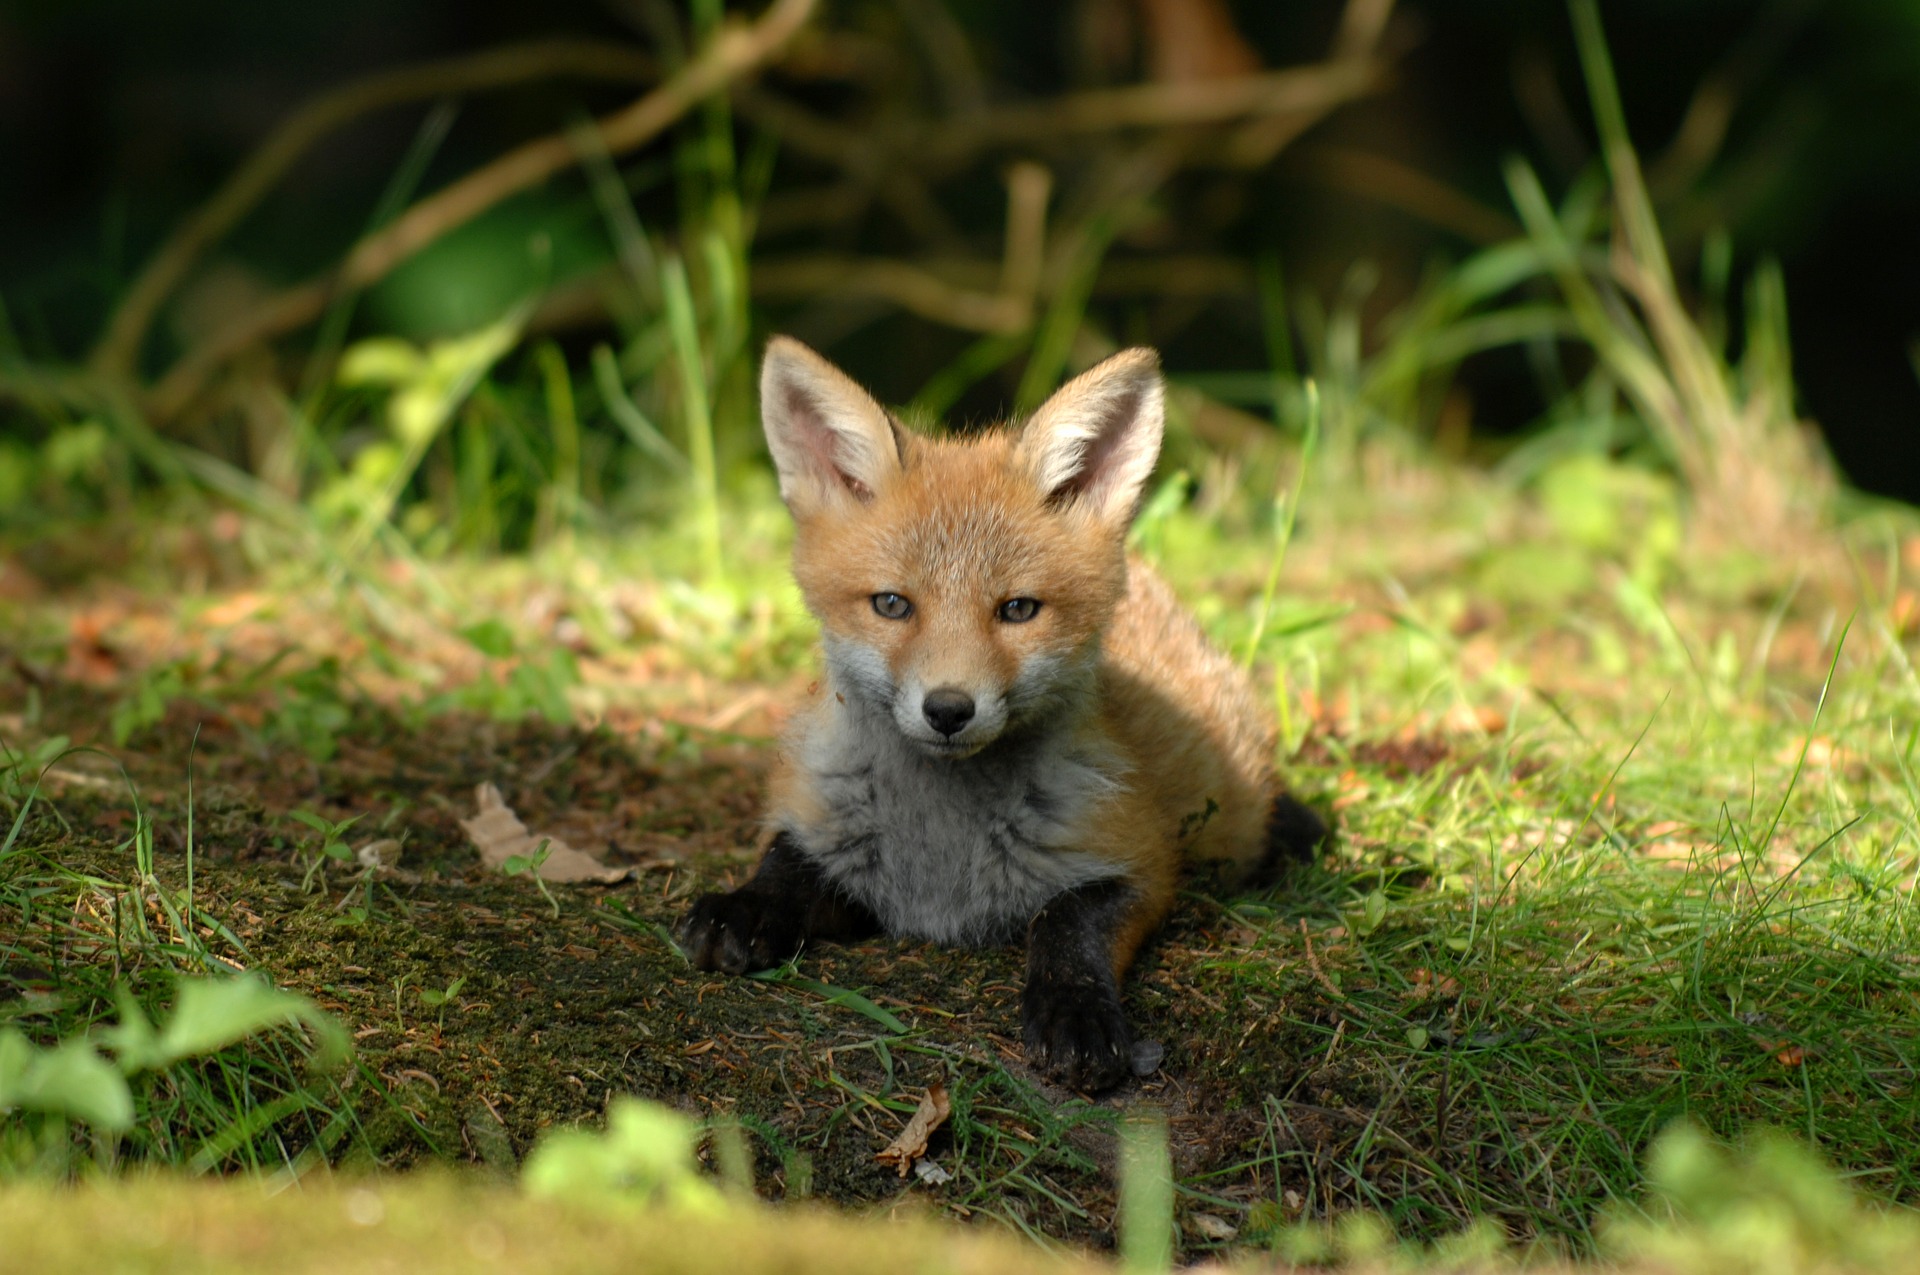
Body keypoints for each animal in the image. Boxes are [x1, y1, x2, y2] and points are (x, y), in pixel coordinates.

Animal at [683, 336, 1328, 1082]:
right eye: (892, 604)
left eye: (1018, 610)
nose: (948, 709)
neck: (940, 854)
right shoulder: (826, 827)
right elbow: (784, 862)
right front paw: (742, 908)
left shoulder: (1139, 860)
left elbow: (1064, 922)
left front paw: (1074, 1009)